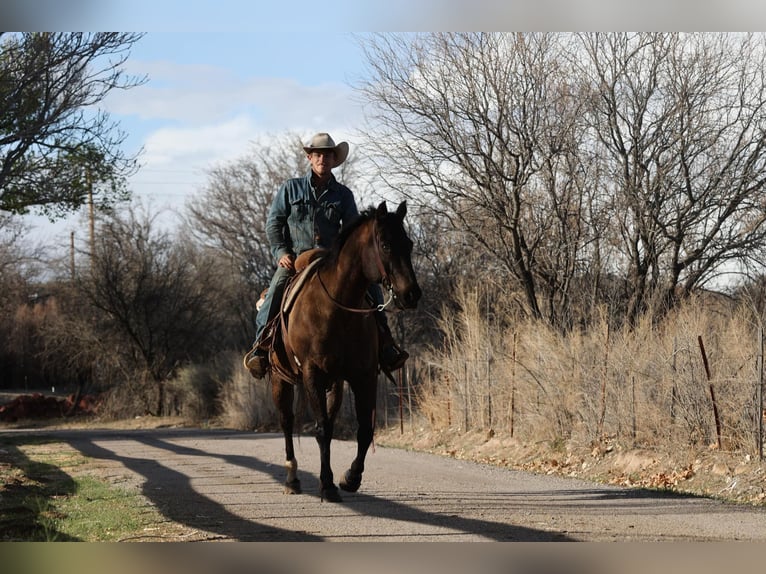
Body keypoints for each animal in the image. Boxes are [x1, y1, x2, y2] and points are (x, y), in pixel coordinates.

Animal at [269, 200, 421, 502]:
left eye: (408, 243)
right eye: (385, 244)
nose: (412, 294)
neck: (336, 307)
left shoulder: (364, 375)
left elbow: (364, 430)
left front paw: (350, 478)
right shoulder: (312, 374)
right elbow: (322, 429)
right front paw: (327, 485)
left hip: (335, 384)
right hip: (282, 379)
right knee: (287, 422)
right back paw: (292, 478)